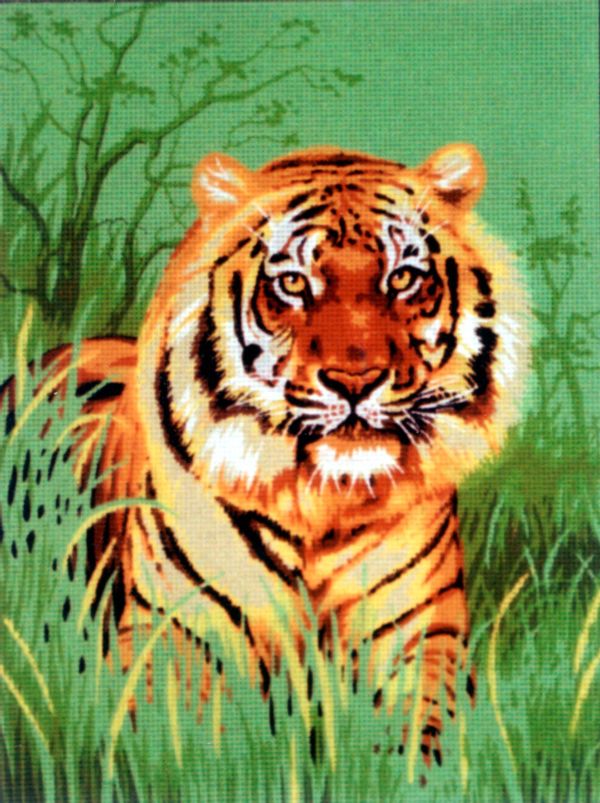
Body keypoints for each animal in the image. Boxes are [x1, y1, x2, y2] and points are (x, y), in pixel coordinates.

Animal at [42, 143, 528, 757]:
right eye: (294, 283)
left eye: (403, 278)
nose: (355, 380)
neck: (322, 501)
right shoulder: (173, 628)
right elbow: (180, 740)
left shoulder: (420, 631)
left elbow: (424, 740)